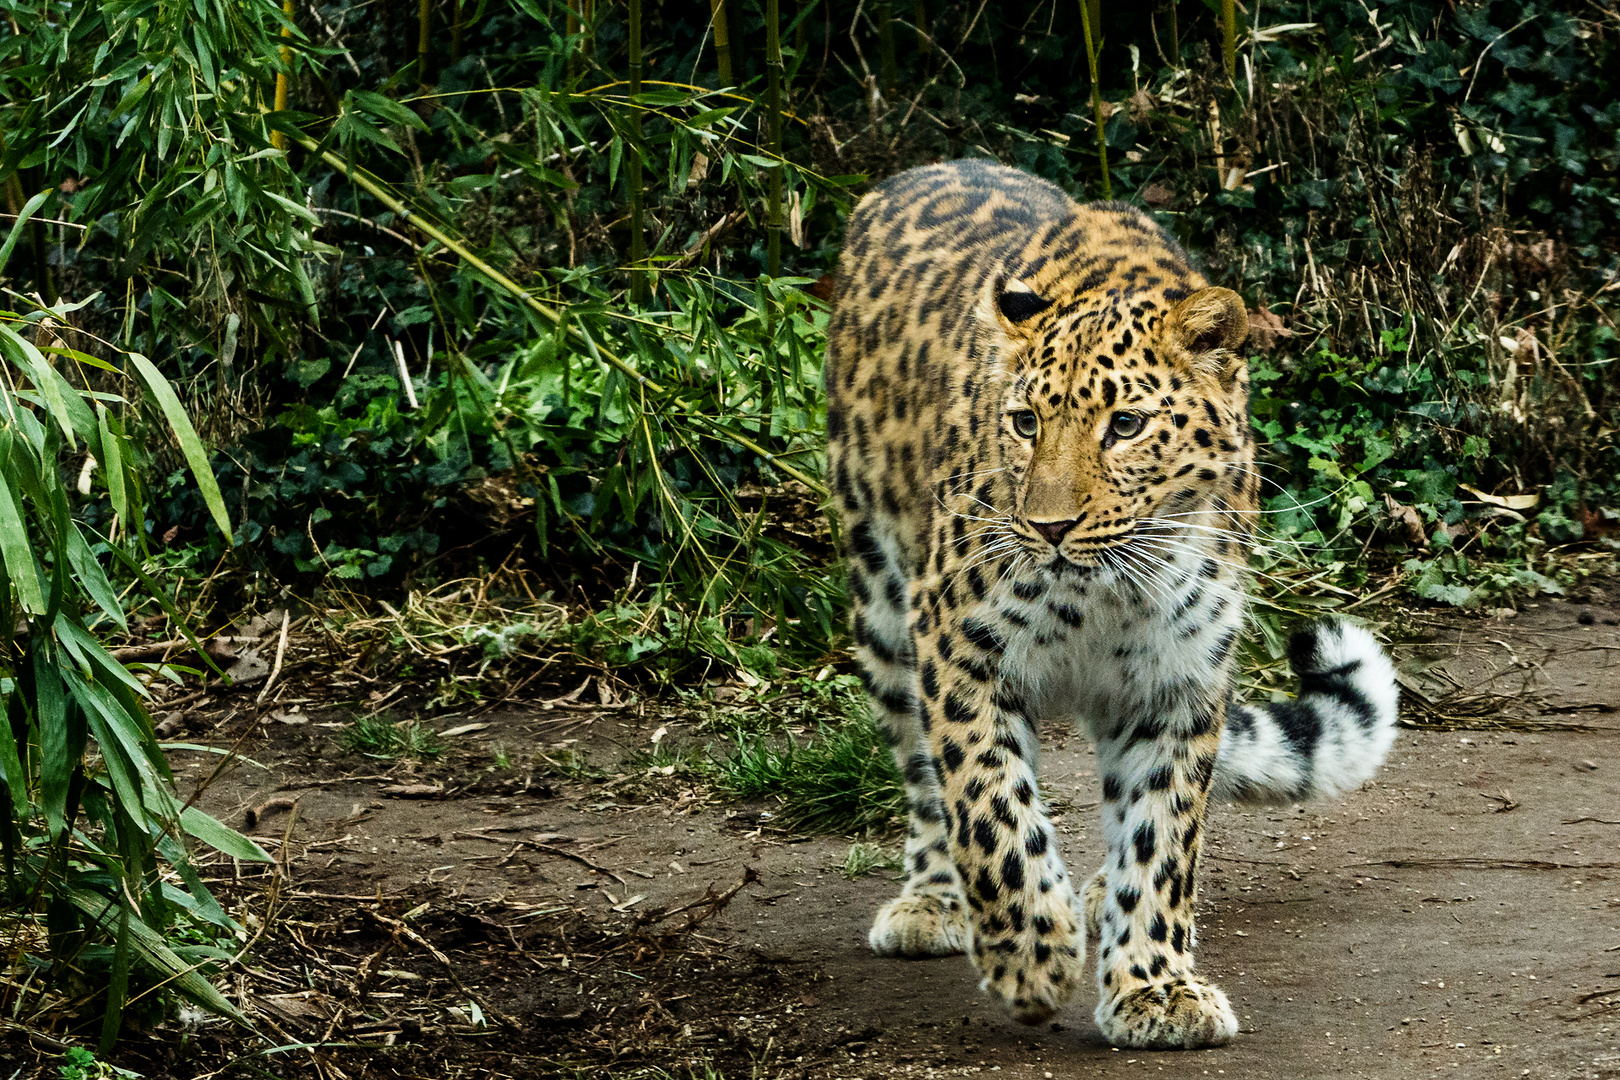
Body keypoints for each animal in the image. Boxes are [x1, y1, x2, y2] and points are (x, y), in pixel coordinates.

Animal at [829, 160, 1399, 1049]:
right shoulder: (960, 651)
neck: (1108, 591)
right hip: (883, 600)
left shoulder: (1177, 680)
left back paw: (1096, 894)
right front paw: (1030, 957)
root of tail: (918, 171)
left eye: (1125, 425)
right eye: (1024, 422)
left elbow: (1162, 834)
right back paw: (935, 902)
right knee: (925, 774)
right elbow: (991, 810)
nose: (1049, 526)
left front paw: (1155, 987)